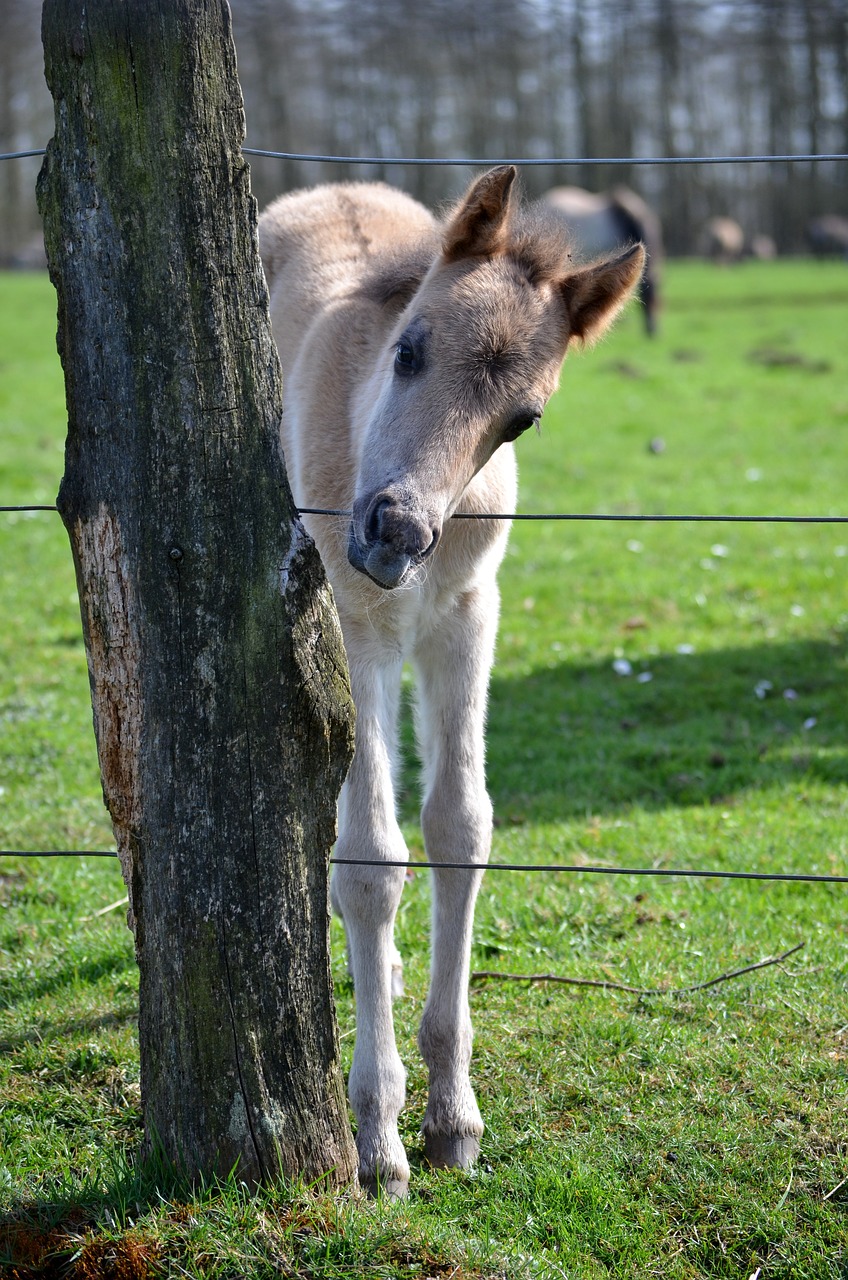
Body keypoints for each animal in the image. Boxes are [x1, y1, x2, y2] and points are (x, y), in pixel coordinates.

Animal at [258, 165, 645, 1192]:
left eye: (523, 419)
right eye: (410, 351)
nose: (394, 530)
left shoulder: (467, 618)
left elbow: (458, 829)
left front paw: (453, 1118)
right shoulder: (355, 629)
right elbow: (370, 859)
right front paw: (380, 1141)